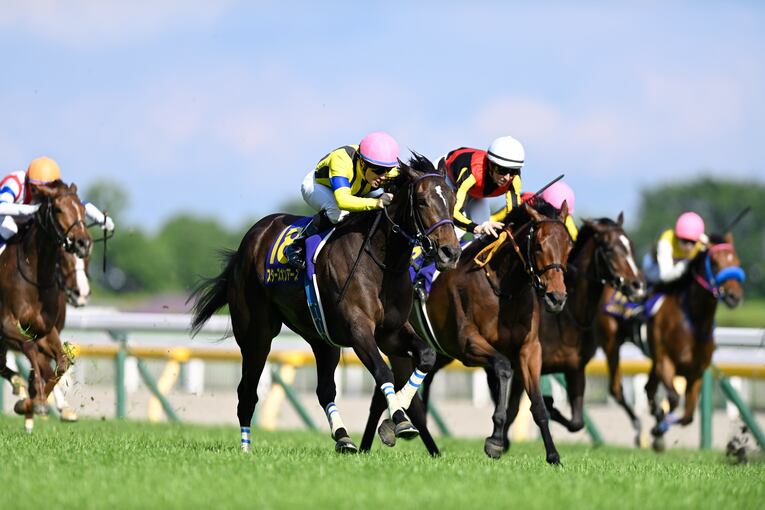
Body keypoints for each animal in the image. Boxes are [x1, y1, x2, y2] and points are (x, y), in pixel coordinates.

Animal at [0, 181, 92, 426]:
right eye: (58, 209)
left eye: (82, 208)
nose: (83, 242)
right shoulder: (7, 325)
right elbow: (30, 349)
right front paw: (36, 399)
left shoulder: (45, 331)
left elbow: (61, 363)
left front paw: (34, 401)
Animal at [190, 153, 461, 453]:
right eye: (422, 201)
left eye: (452, 200)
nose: (450, 253)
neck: (382, 262)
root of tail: (250, 240)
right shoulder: (358, 329)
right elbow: (383, 372)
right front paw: (400, 420)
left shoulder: (390, 332)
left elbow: (426, 357)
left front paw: (392, 423)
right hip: (256, 333)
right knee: (247, 391)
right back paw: (246, 448)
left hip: (321, 338)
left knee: (324, 390)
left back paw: (343, 437)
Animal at [360, 200, 573, 462]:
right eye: (540, 245)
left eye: (568, 246)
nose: (557, 298)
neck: (503, 288)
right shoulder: (469, 345)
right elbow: (503, 367)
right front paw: (495, 441)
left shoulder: (530, 349)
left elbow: (538, 404)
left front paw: (553, 455)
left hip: (437, 352)